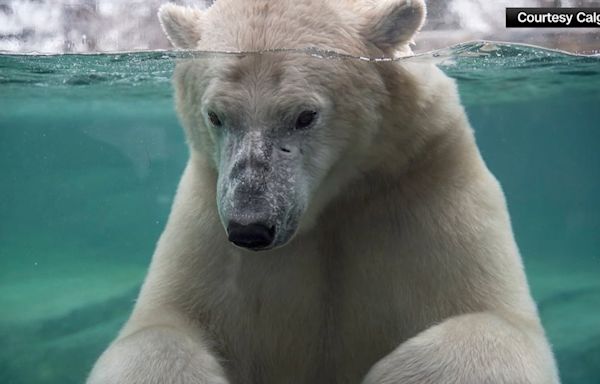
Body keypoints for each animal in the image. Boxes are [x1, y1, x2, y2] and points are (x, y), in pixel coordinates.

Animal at [86, 0, 560, 384]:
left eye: (305, 116)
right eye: (216, 115)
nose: (250, 227)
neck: (330, 203)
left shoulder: (425, 184)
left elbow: (491, 319)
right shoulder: (208, 216)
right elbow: (161, 327)